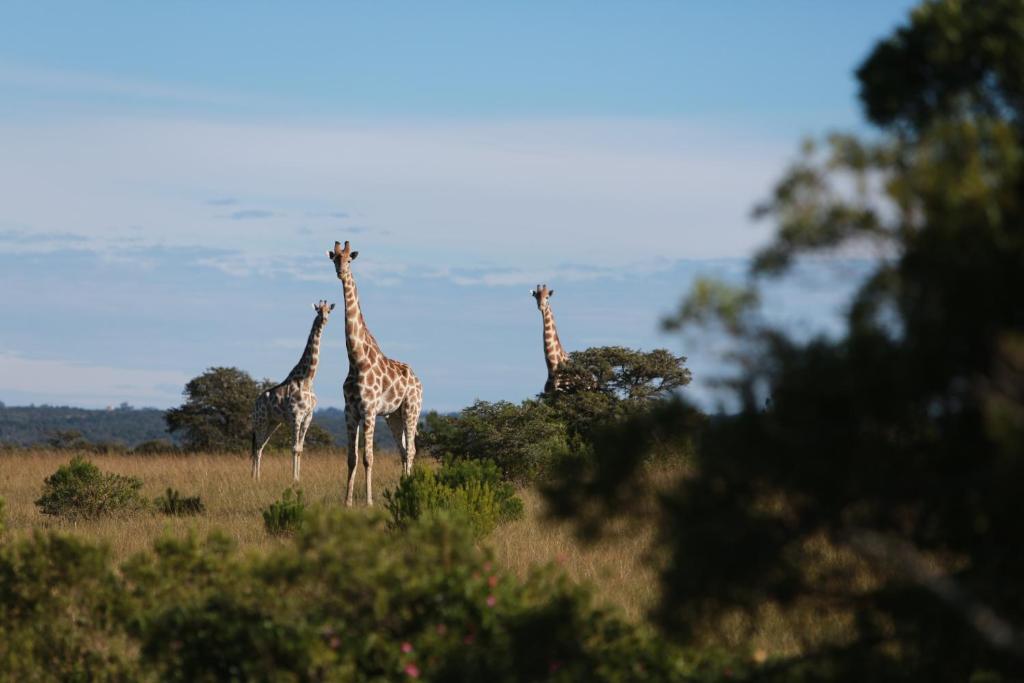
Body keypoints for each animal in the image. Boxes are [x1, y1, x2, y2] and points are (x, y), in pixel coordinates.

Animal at [249, 301, 333, 483]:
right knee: (257, 447)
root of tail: (254, 404)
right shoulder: (296, 415)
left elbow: (300, 448)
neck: (308, 378)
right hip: (261, 421)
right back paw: (256, 478)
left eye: (328, 311)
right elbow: (294, 448)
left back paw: (255, 476)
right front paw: (293, 479)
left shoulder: (308, 416)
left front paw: (299, 478)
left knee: (261, 446)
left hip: (273, 423)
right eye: (318, 310)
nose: (324, 320)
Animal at [327, 241, 423, 507]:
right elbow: (351, 458)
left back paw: (409, 489)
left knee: (412, 449)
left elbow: (368, 457)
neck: (356, 360)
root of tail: (418, 380)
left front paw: (369, 501)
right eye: (334, 259)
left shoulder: (369, 410)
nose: (341, 272)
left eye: (349, 260)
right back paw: (403, 488)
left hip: (411, 409)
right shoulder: (350, 411)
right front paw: (347, 502)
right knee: (403, 450)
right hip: (393, 416)